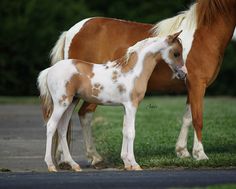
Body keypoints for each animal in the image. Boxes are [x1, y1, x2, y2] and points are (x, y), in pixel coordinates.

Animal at [37, 31, 186, 172]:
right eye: (176, 53)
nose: (183, 74)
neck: (133, 72)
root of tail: (50, 70)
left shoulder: (125, 107)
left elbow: (125, 131)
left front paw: (126, 163)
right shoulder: (132, 106)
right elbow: (131, 132)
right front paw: (135, 164)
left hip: (71, 103)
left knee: (62, 129)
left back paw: (74, 165)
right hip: (61, 103)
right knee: (51, 126)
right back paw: (51, 165)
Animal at [48, 0, 236, 165]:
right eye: (177, 53)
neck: (203, 36)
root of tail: (71, 31)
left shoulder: (191, 87)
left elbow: (187, 118)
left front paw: (182, 151)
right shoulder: (198, 85)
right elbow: (198, 119)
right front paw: (200, 154)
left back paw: (68, 158)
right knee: (80, 116)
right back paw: (88, 157)